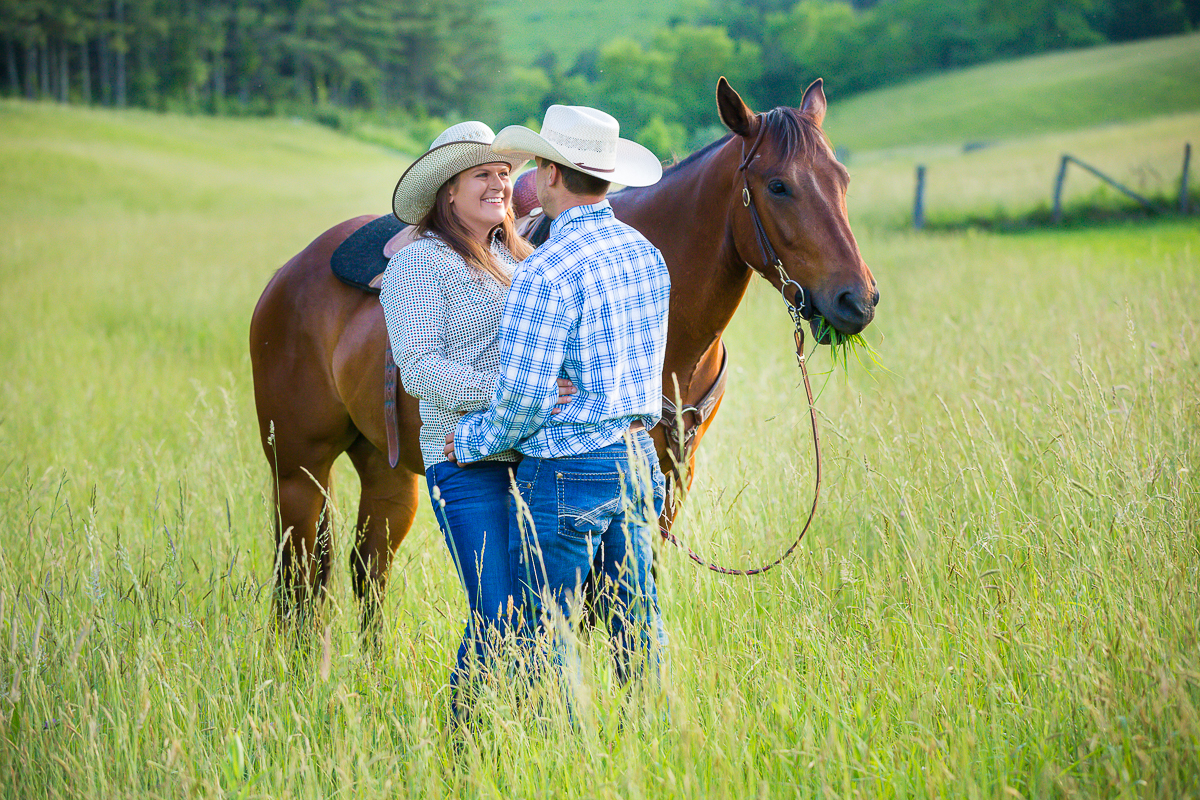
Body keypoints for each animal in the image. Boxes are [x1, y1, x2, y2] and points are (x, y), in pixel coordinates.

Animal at [248, 77, 878, 633]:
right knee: (298, 580)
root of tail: (286, 276)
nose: (858, 300)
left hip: (385, 466)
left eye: (843, 178)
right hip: (299, 470)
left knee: (367, 567)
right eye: (778, 186)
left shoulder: (669, 478)